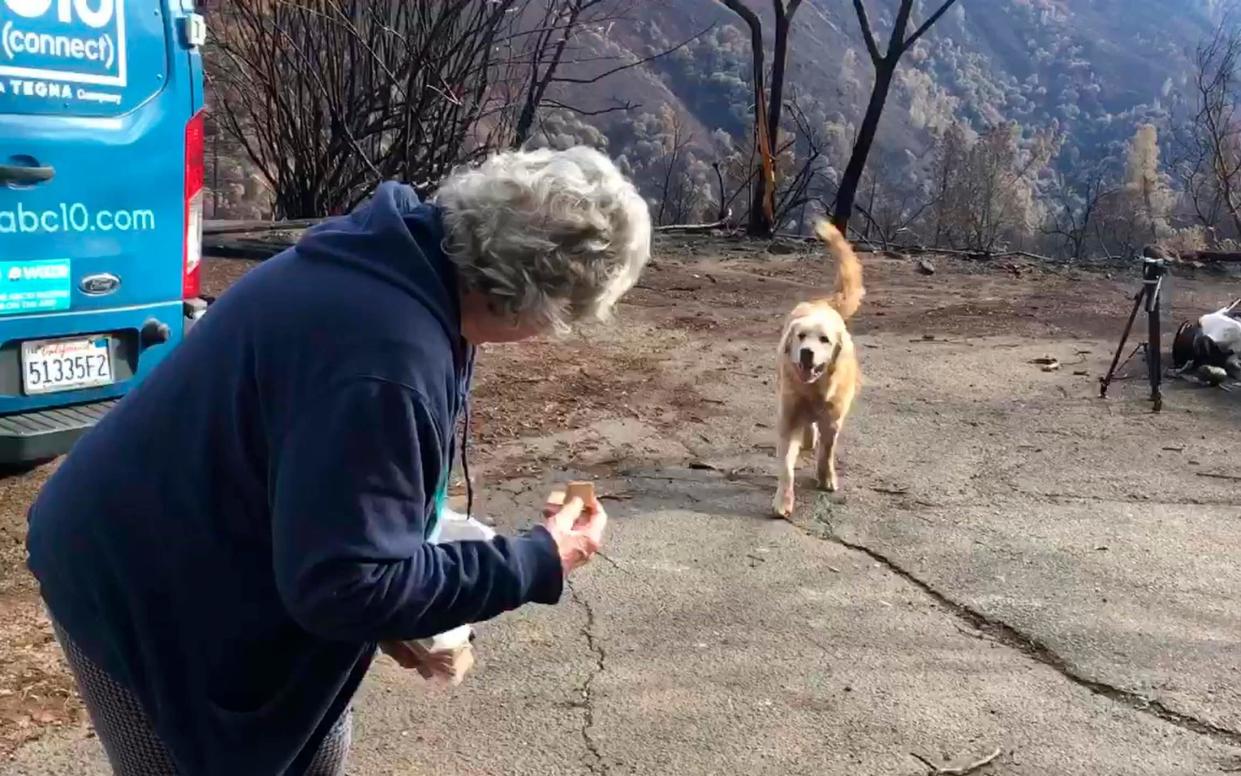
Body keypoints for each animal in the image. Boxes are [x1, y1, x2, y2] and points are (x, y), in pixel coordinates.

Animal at [769, 221, 868, 516]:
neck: (814, 390)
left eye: (824, 339)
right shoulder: (788, 417)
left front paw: (826, 478)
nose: (807, 352)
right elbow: (786, 467)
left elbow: (827, 452)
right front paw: (783, 501)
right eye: (801, 336)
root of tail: (822, 304)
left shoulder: (833, 421)